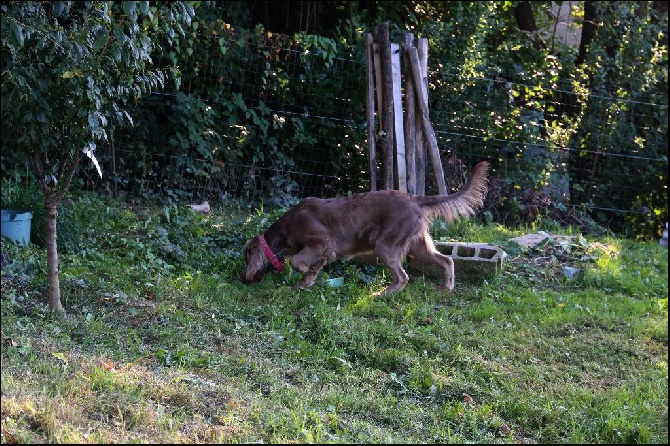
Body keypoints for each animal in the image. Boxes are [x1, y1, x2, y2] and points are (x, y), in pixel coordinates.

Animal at [239, 160, 490, 292]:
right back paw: (446, 288)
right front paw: (305, 283)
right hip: (418, 245)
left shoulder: (322, 241)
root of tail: (415, 198)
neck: (284, 231)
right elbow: (308, 265)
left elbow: (297, 261)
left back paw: (384, 293)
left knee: (403, 277)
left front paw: (307, 273)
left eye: (245, 259)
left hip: (384, 246)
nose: (241, 278)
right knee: (446, 260)